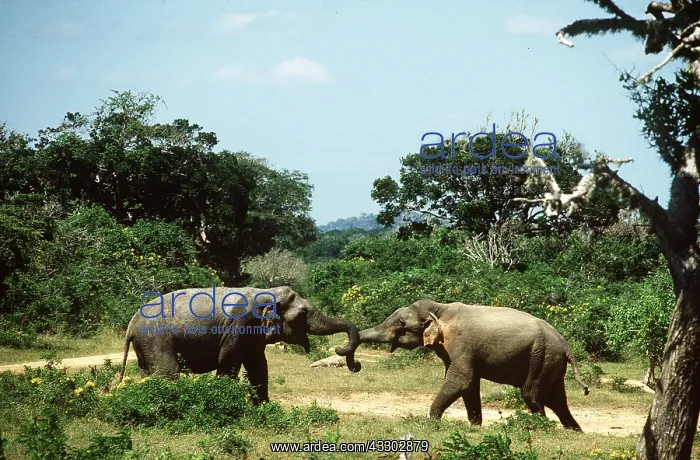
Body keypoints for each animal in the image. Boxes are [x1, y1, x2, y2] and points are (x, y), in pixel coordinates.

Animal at [118, 285, 361, 404]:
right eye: (302, 313)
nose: (355, 366)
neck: (266, 292)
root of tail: (131, 324)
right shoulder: (239, 325)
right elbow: (229, 361)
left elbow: (258, 365)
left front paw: (265, 407)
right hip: (155, 338)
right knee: (168, 372)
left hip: (145, 344)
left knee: (147, 372)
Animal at [359, 299, 589, 431]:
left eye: (401, 323)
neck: (440, 309)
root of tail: (565, 344)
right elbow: (469, 385)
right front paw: (475, 427)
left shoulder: (462, 344)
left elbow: (462, 380)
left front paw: (433, 423)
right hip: (551, 361)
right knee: (556, 400)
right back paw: (575, 431)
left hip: (541, 357)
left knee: (531, 395)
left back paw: (539, 427)